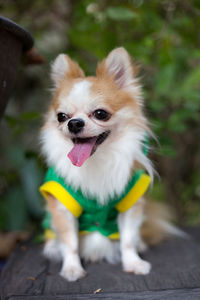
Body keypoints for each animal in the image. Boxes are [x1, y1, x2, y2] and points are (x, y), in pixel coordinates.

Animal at [39, 47, 178, 282]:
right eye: (61, 117)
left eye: (100, 114)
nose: (74, 123)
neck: (97, 160)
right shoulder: (62, 207)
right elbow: (70, 241)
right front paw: (72, 268)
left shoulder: (130, 204)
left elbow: (128, 239)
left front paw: (133, 263)